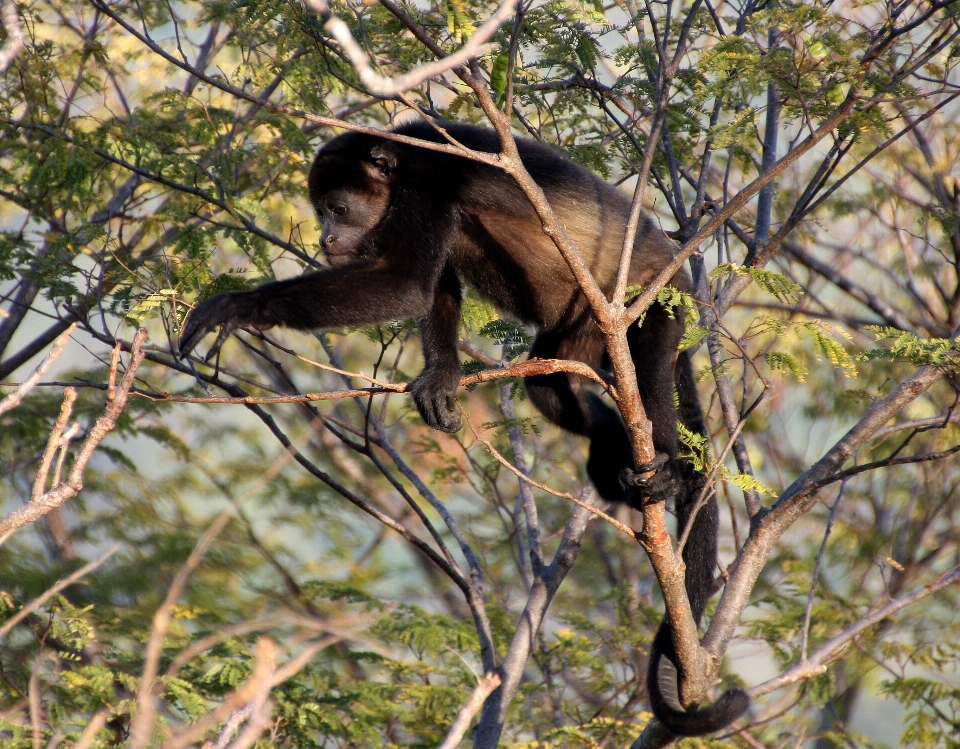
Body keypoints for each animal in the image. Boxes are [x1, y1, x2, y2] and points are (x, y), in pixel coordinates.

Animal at [178, 120, 752, 732]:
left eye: (338, 208)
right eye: (321, 211)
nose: (326, 239)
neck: (400, 164)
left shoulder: (427, 188)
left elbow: (405, 283)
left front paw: (239, 306)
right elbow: (434, 286)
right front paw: (440, 377)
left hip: (657, 305)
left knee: (648, 374)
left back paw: (664, 468)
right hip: (578, 334)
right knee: (549, 384)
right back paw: (610, 452)